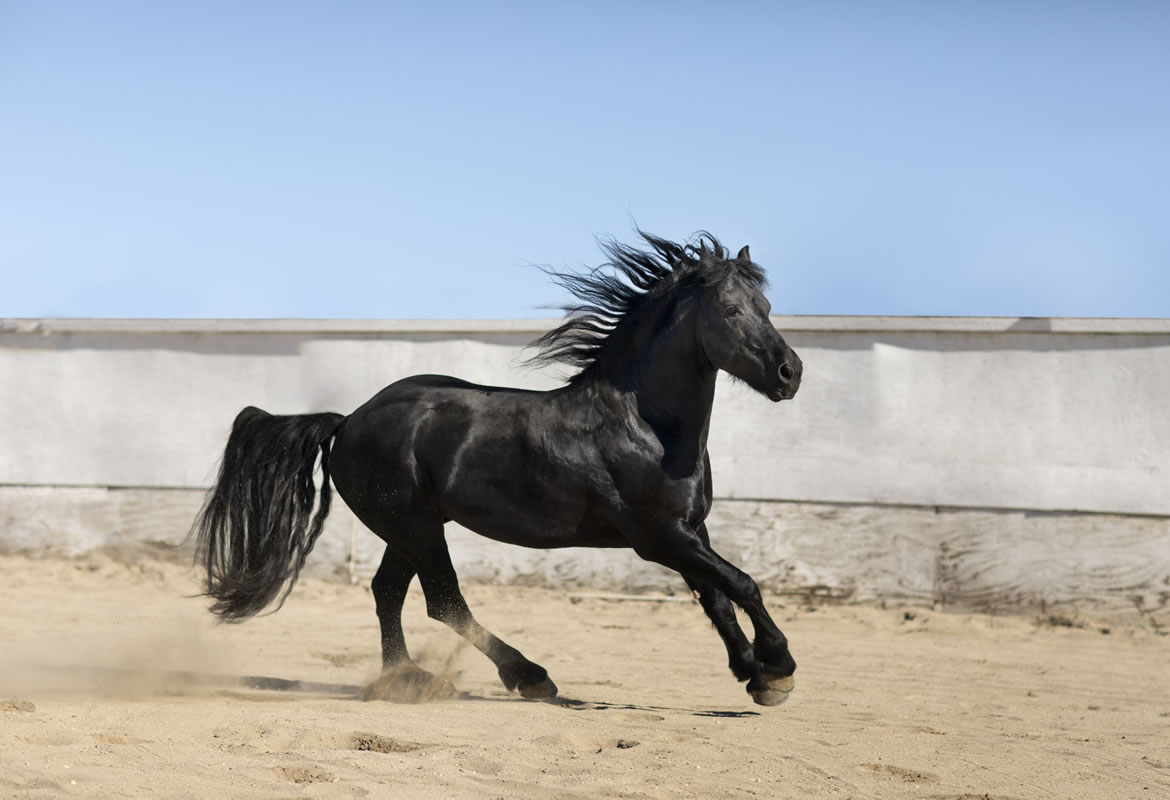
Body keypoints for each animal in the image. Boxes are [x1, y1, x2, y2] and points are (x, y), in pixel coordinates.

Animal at [194, 232, 804, 706]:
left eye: (768, 308)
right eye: (731, 310)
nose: (790, 372)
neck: (646, 426)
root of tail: (348, 422)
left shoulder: (690, 531)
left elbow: (717, 597)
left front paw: (752, 674)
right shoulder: (658, 538)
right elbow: (742, 583)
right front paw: (777, 667)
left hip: (409, 528)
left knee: (388, 592)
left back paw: (404, 679)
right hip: (415, 526)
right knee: (443, 601)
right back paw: (528, 676)